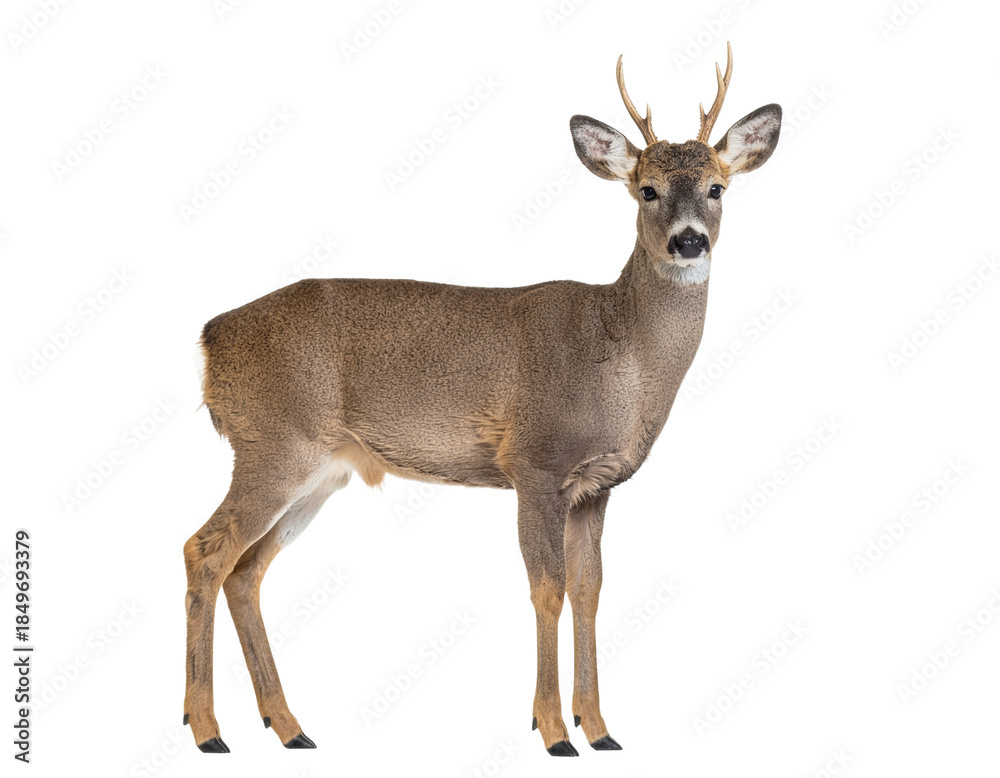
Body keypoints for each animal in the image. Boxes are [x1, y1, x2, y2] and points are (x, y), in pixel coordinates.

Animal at [183, 42, 782, 757]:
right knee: (205, 551)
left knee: (245, 570)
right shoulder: (534, 463)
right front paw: (553, 731)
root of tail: (210, 338)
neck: (624, 359)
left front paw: (601, 728)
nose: (689, 240)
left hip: (318, 470)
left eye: (718, 187)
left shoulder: (596, 485)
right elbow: (547, 588)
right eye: (647, 189)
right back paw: (207, 730)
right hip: (272, 442)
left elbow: (590, 589)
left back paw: (289, 727)